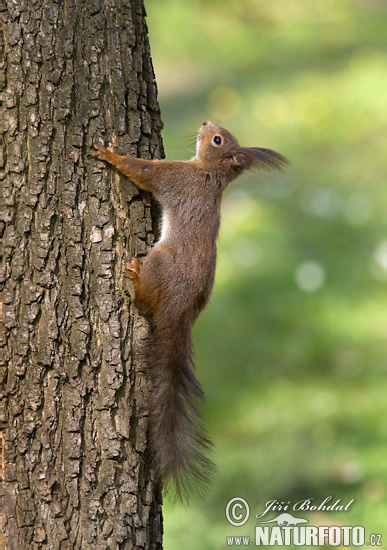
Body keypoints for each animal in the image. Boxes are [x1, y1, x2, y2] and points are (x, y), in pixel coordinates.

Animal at [91, 122, 288, 500]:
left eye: (218, 140)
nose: (207, 124)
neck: (208, 174)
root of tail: (180, 314)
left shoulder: (175, 178)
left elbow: (144, 171)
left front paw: (110, 155)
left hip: (160, 263)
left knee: (146, 303)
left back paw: (135, 280)